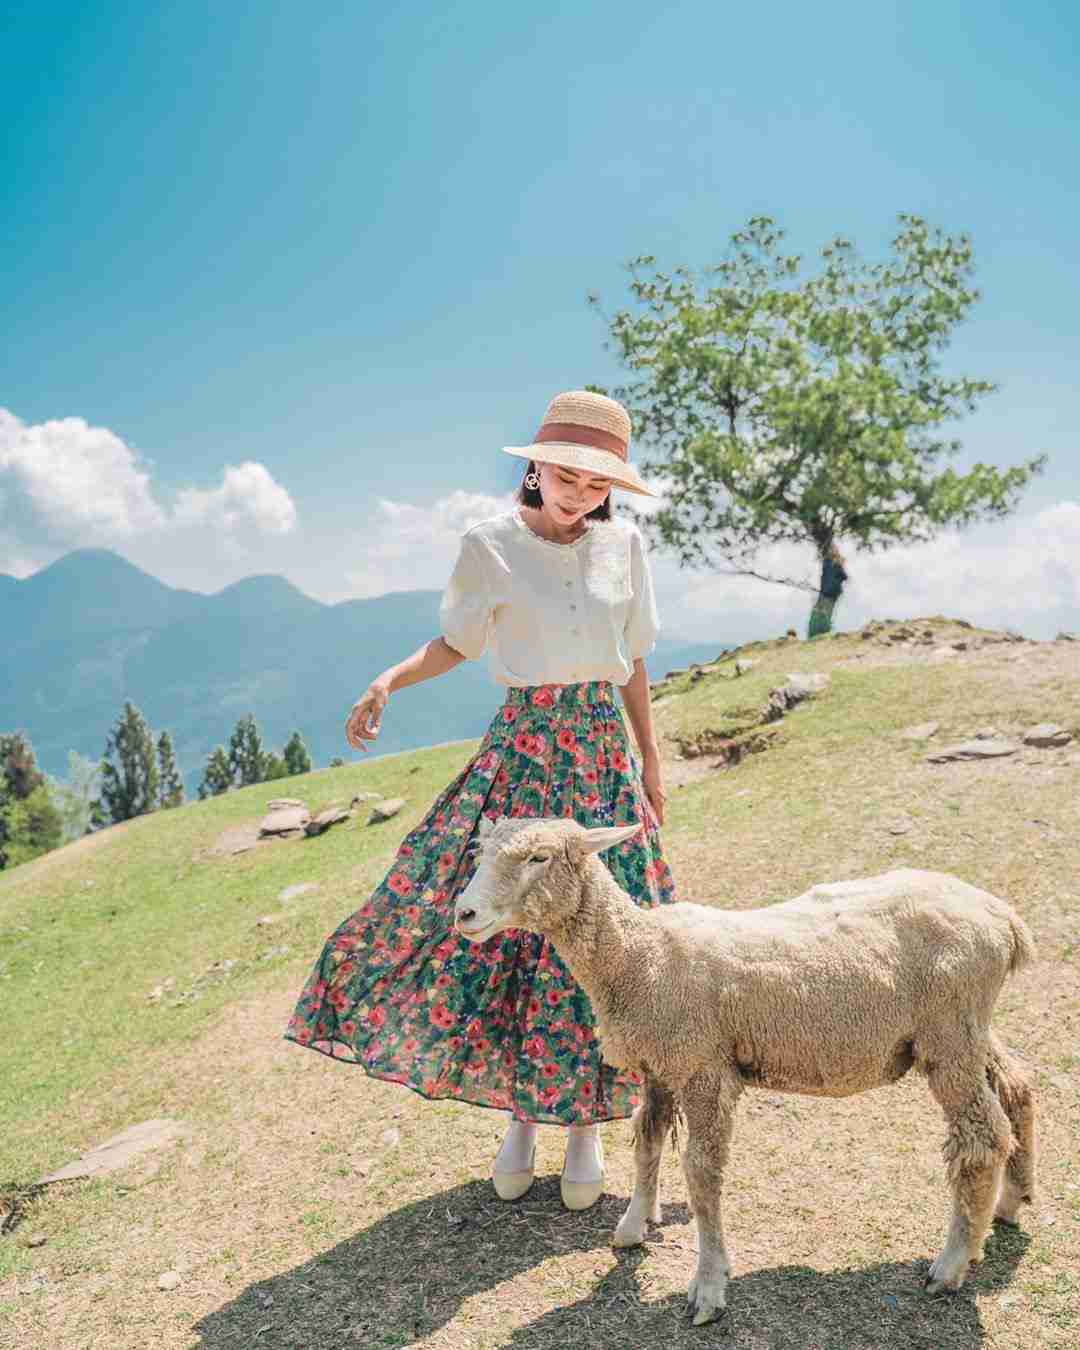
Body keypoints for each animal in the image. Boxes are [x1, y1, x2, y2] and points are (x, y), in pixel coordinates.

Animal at [448, 815, 1036, 1323]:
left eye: (539, 857)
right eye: (479, 853)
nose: (464, 914)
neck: (641, 957)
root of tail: (1003, 918)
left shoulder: (704, 1067)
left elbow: (702, 1173)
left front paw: (708, 1283)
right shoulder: (660, 1066)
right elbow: (648, 1142)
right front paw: (636, 1222)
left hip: (949, 1033)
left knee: (983, 1138)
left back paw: (952, 1263)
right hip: (966, 1029)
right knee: (1019, 1088)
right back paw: (1012, 1202)